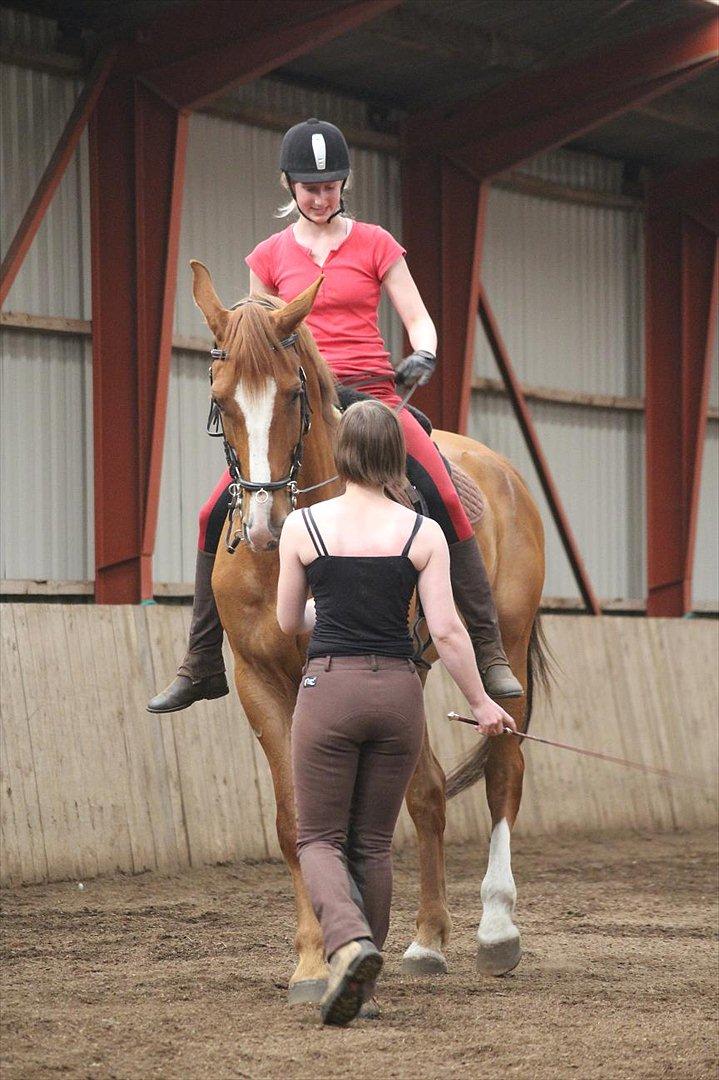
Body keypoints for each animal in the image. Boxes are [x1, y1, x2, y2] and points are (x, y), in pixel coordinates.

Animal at [190, 261, 544, 1002]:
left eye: (294, 394)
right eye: (221, 400)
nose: (264, 527)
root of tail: (499, 469)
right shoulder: (260, 681)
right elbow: (297, 818)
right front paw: (312, 962)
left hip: (504, 647)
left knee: (503, 768)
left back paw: (496, 931)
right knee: (430, 792)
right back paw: (426, 942)